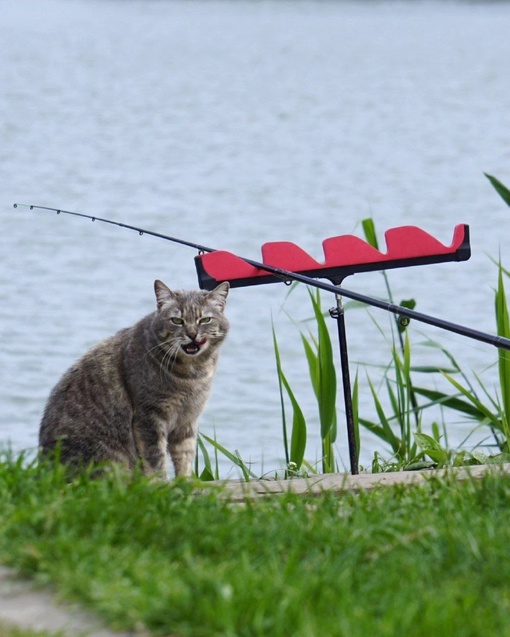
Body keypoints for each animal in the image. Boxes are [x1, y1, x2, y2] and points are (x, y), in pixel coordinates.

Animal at [38, 278, 230, 476]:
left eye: (205, 320)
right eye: (177, 320)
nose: (192, 334)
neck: (193, 374)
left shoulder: (188, 420)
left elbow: (185, 455)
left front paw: (186, 480)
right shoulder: (148, 417)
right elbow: (156, 459)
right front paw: (162, 482)